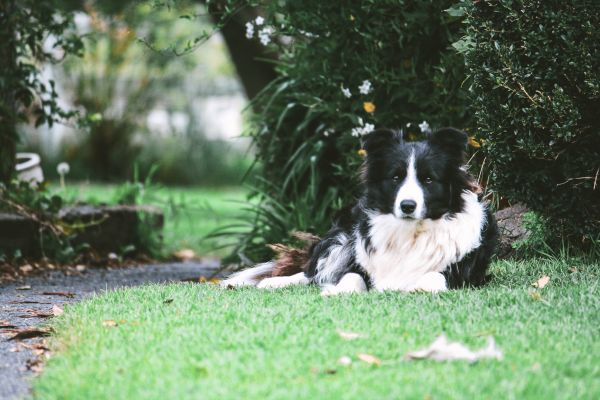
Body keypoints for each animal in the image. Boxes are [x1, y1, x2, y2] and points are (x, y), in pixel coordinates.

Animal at [223, 126, 500, 296]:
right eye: (396, 177)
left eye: (429, 179)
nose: (407, 206)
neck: (411, 232)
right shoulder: (359, 260)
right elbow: (350, 276)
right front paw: (338, 291)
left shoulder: (466, 273)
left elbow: (436, 275)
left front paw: (421, 287)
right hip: (341, 238)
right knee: (312, 273)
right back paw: (274, 281)